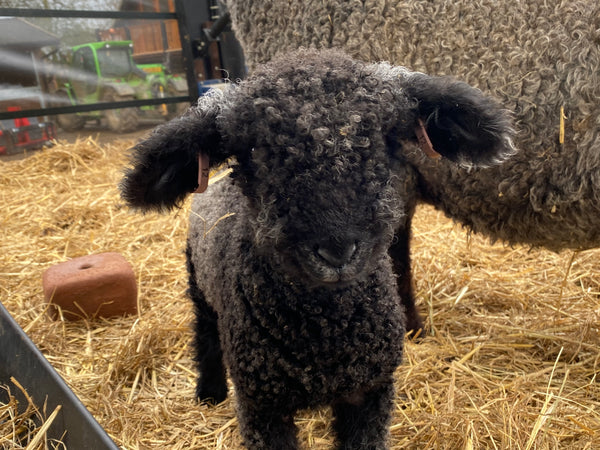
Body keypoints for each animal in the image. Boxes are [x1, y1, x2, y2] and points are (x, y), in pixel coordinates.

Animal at [119, 47, 512, 448]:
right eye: (253, 149)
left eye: (386, 136)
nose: (337, 250)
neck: (325, 332)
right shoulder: (262, 405)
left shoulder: (370, 392)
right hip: (198, 285)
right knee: (205, 334)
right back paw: (209, 393)